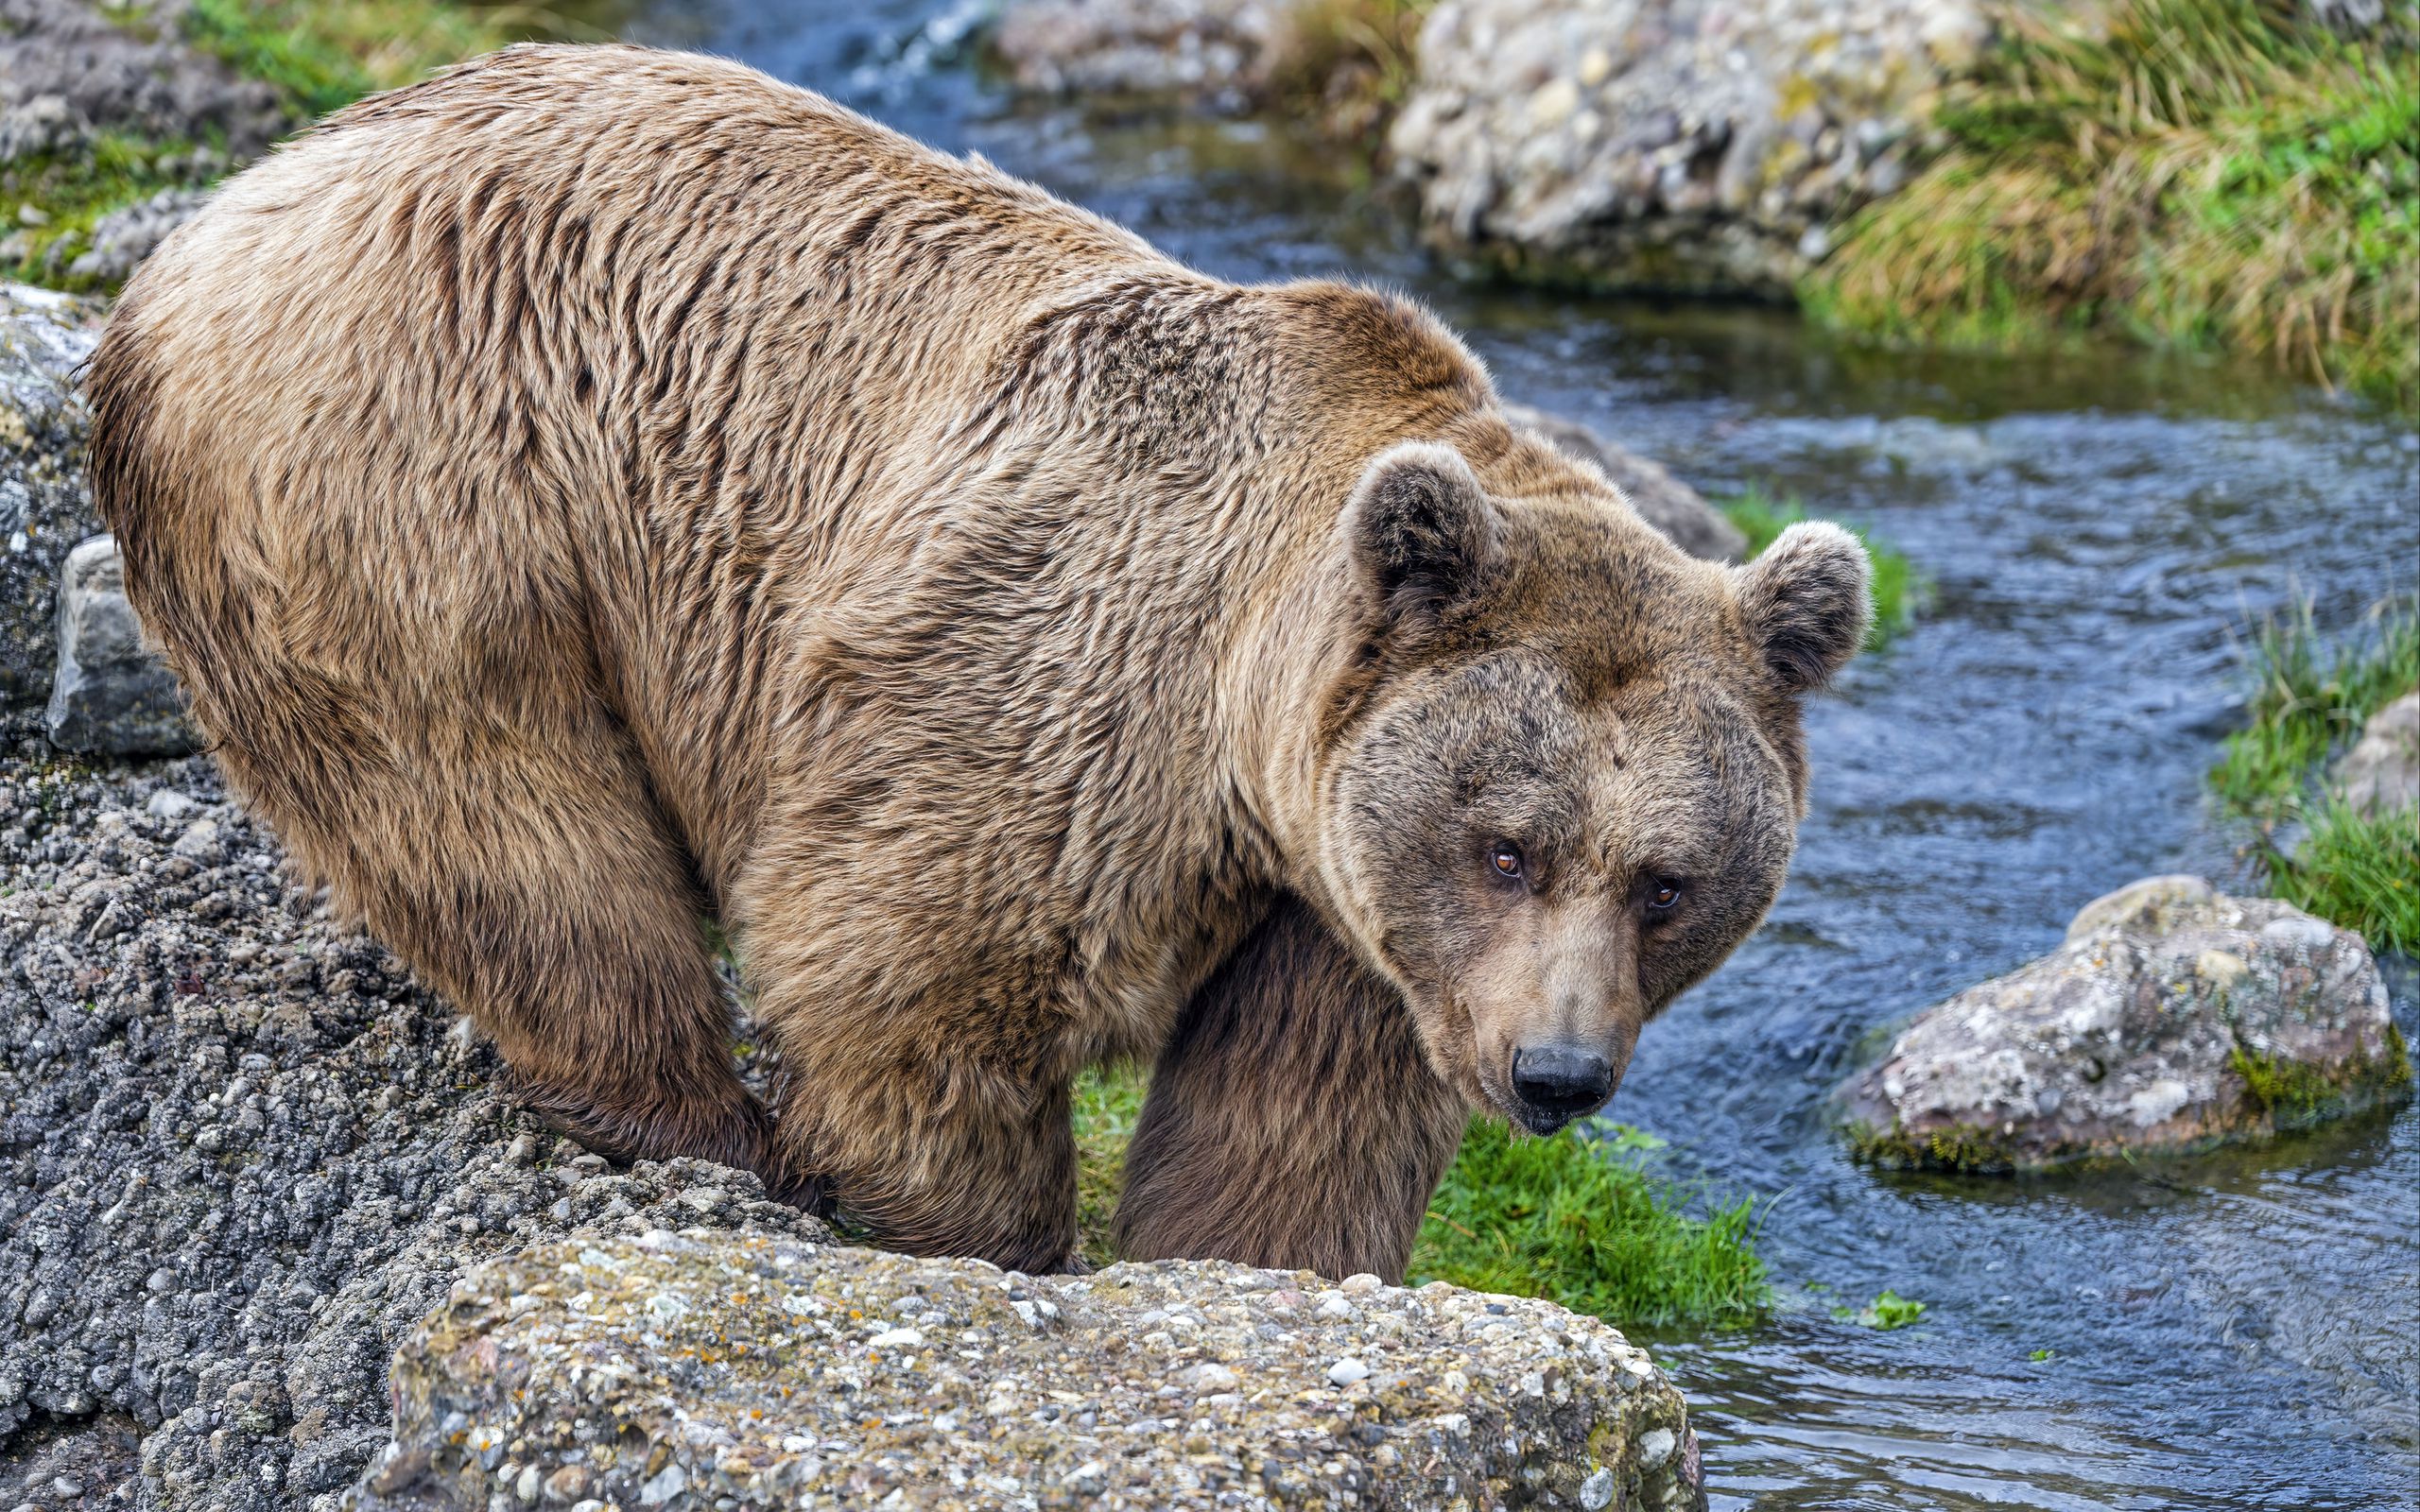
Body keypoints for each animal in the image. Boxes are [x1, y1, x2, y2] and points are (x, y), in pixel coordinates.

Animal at [89, 43, 1868, 1277]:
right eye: (1509, 844)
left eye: (1667, 880)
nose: (1557, 1073)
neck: (1237, 731)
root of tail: (211, 225)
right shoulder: (1042, 683)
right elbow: (913, 972)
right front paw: (965, 1230)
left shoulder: (1344, 913)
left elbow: (1294, 1133)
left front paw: (1256, 1272)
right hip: (411, 470)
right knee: (510, 820)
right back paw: (684, 1113)